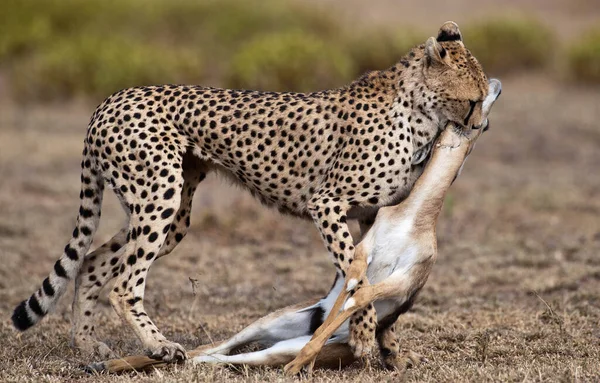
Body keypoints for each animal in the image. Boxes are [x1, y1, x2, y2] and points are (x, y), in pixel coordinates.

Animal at [12, 21, 492, 364]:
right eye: (472, 99)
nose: (481, 126)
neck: (417, 108)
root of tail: (110, 99)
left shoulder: (368, 215)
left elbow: (372, 278)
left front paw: (387, 345)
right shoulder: (327, 204)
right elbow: (355, 274)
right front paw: (362, 339)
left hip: (170, 212)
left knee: (92, 262)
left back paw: (87, 347)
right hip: (159, 196)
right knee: (125, 281)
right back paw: (159, 346)